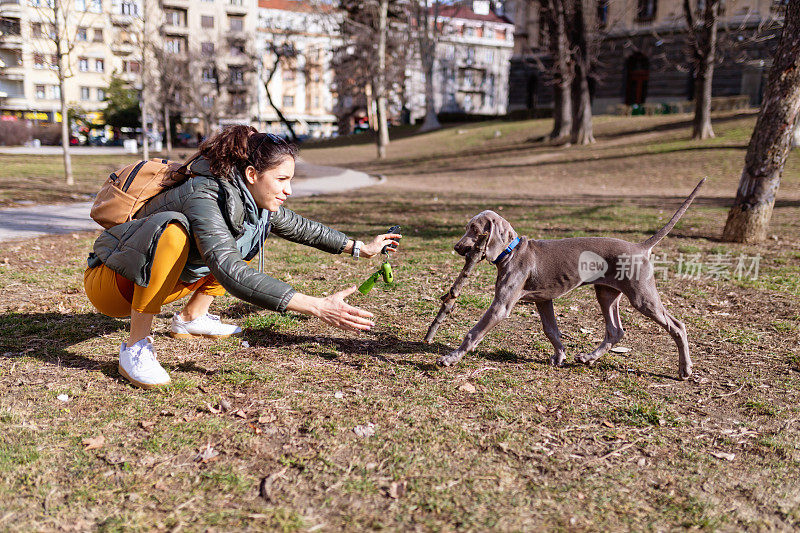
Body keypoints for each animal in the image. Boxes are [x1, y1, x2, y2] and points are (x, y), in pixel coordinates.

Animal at [438, 179, 708, 378]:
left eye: (474, 229)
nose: (456, 247)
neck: (511, 251)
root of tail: (640, 247)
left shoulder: (501, 306)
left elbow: (473, 332)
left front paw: (451, 358)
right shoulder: (543, 300)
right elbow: (551, 330)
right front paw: (560, 356)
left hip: (642, 296)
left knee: (677, 326)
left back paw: (685, 369)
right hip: (606, 293)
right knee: (615, 331)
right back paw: (588, 357)